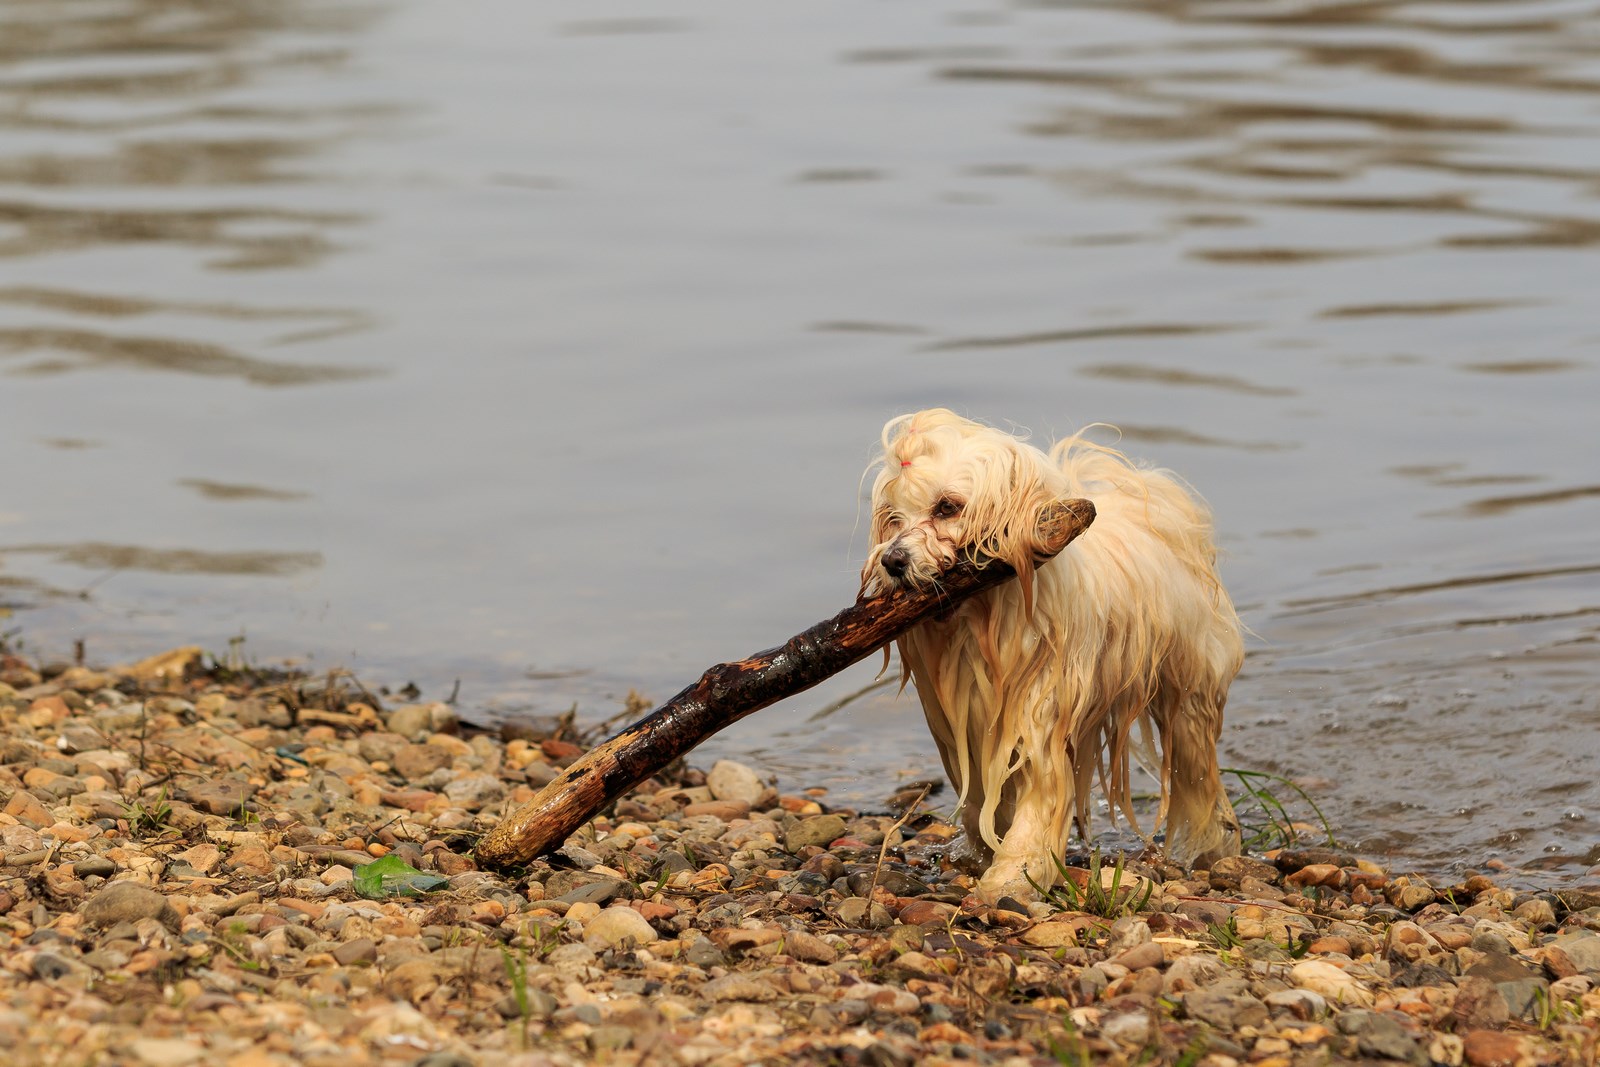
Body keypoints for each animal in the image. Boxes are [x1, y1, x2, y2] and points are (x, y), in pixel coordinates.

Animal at [864, 409, 1248, 902]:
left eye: (947, 506)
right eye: (892, 518)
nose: (892, 562)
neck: (984, 621)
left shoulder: (1041, 706)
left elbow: (1040, 793)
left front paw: (1014, 872)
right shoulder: (964, 718)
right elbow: (981, 795)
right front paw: (989, 850)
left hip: (1188, 689)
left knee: (1196, 766)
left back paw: (1214, 843)